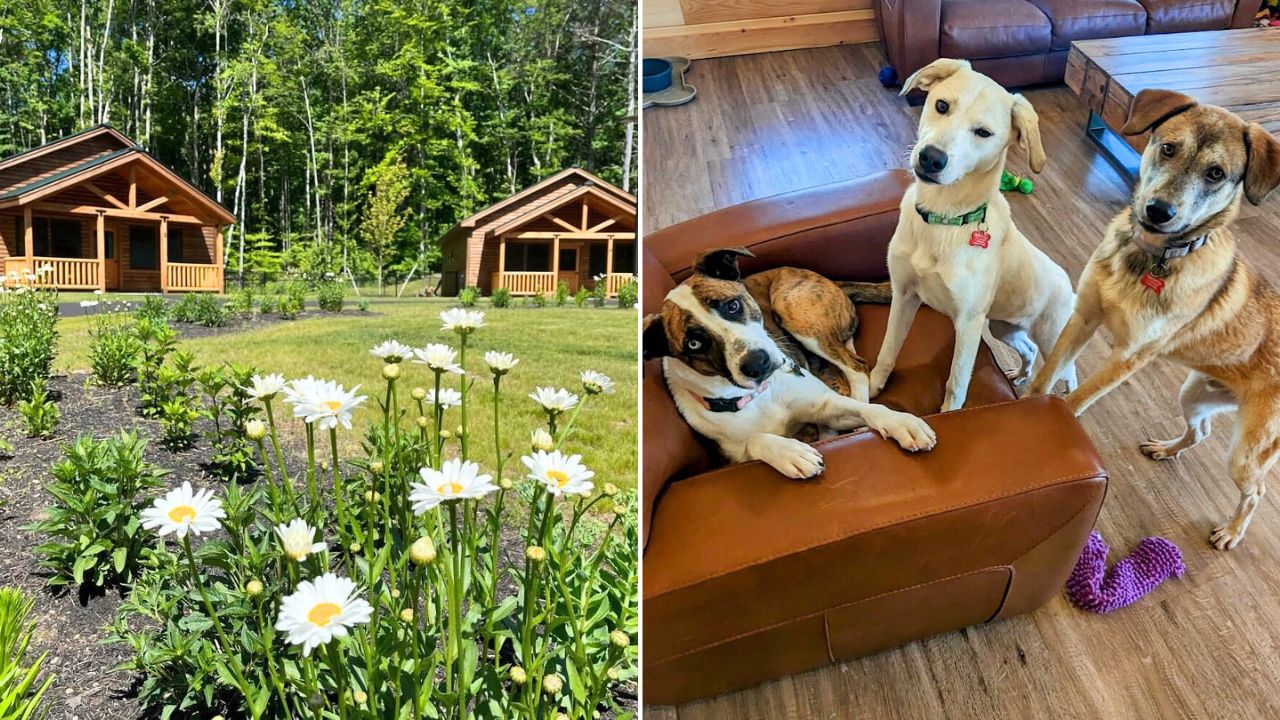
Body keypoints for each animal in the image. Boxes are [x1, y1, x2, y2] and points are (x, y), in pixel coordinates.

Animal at [645, 245, 936, 476]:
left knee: (856, 368)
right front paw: (791, 453)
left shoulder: (828, 407)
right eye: (694, 344)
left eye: (732, 306)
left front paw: (903, 423)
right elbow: (755, 440)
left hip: (794, 312)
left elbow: (870, 410)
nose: (757, 363)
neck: (758, 397)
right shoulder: (730, 460)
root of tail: (829, 280)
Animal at [870, 60, 1080, 409]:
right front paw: (871, 388)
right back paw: (1019, 375)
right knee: (1028, 348)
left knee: (1068, 372)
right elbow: (887, 350)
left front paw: (948, 414)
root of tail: (1070, 286)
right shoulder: (903, 294)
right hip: (1004, 326)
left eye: (983, 133)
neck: (943, 220)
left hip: (1051, 340)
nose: (931, 158)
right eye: (942, 106)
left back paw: (1066, 399)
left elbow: (956, 384)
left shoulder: (968, 325)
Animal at [1029, 89, 1280, 548]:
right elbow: (1047, 374)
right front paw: (1026, 405)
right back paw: (1166, 448)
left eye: (1216, 173)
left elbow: (1077, 398)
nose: (1158, 210)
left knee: (1256, 491)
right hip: (1195, 393)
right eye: (1168, 148)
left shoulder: (1128, 357)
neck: (1153, 255)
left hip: (1248, 451)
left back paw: (1232, 532)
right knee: (1201, 432)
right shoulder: (1084, 315)